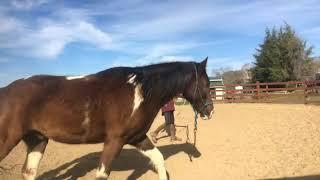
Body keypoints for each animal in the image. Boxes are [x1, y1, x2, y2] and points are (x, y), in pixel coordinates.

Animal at [0, 58, 215, 180]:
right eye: (206, 83)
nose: (210, 111)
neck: (139, 92)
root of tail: (5, 91)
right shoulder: (114, 141)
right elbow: (102, 174)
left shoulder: (137, 137)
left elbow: (159, 160)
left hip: (37, 140)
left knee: (28, 172)